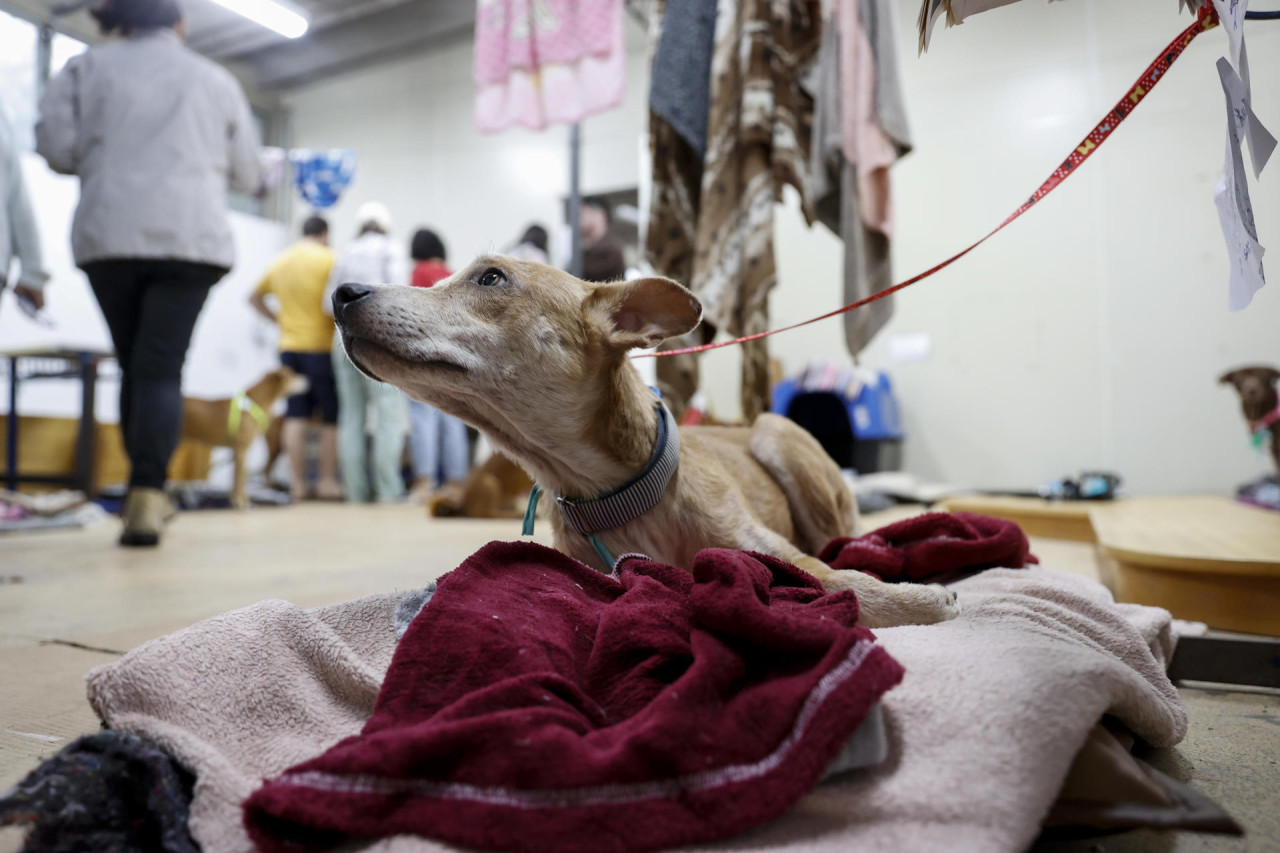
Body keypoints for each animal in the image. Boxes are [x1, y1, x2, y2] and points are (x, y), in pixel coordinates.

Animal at [180, 363, 304, 507]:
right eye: (294, 375)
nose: (307, 379)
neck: (255, 402)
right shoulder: (241, 450)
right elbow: (240, 481)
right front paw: (241, 503)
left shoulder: (238, 452)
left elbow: (238, 480)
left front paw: (237, 500)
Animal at [332, 257, 962, 625]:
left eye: (490, 277)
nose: (340, 293)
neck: (620, 496)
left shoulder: (769, 546)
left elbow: (834, 578)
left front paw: (917, 598)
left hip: (778, 434)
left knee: (843, 539)